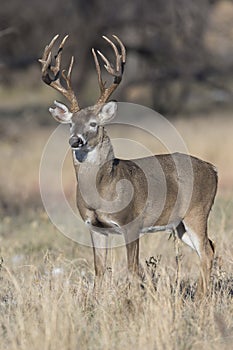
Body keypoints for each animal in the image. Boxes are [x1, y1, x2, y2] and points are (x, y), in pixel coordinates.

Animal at [39, 34, 218, 294]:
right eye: (70, 124)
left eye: (93, 124)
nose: (75, 140)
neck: (102, 190)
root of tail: (213, 169)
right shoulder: (94, 227)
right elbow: (99, 271)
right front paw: (96, 301)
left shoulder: (131, 222)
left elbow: (133, 270)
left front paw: (134, 300)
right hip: (179, 225)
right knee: (210, 247)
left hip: (197, 211)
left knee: (206, 251)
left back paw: (203, 298)